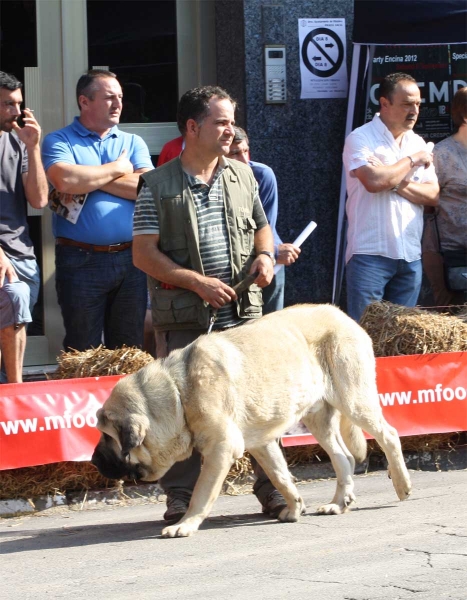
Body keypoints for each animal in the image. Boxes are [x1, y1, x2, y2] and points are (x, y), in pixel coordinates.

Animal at [92, 304, 414, 540]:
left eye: (107, 436)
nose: (94, 460)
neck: (178, 392)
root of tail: (343, 315)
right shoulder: (262, 443)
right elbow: (280, 476)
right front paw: (294, 507)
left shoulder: (221, 448)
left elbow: (202, 492)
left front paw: (187, 523)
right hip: (319, 418)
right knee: (342, 457)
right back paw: (338, 502)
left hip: (354, 400)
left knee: (388, 434)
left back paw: (401, 485)